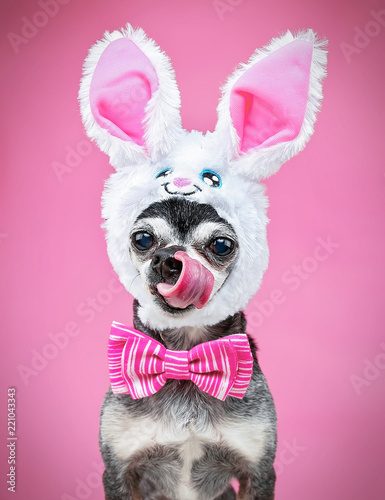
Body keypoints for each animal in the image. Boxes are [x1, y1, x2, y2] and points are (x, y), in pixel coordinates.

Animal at [79, 25, 326, 498]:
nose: (168, 261)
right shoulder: (118, 471)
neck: (184, 355)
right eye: (142, 238)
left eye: (222, 246)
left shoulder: (256, 472)